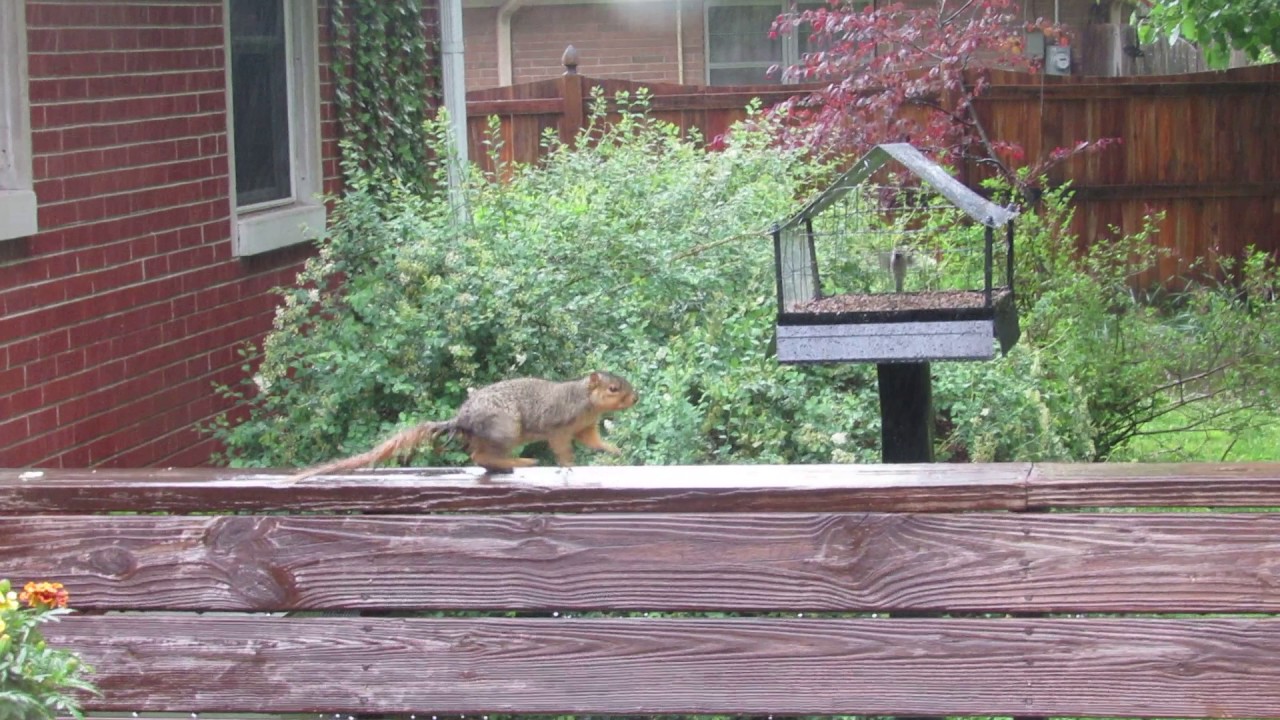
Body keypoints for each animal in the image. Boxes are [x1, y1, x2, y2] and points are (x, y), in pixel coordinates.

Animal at [289, 371, 638, 481]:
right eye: (613, 389)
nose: (634, 398)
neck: (585, 403)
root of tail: (462, 419)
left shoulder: (585, 428)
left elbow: (594, 441)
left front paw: (614, 449)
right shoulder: (559, 425)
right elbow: (562, 447)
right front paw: (567, 463)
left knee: (482, 458)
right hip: (507, 429)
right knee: (479, 457)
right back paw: (523, 461)